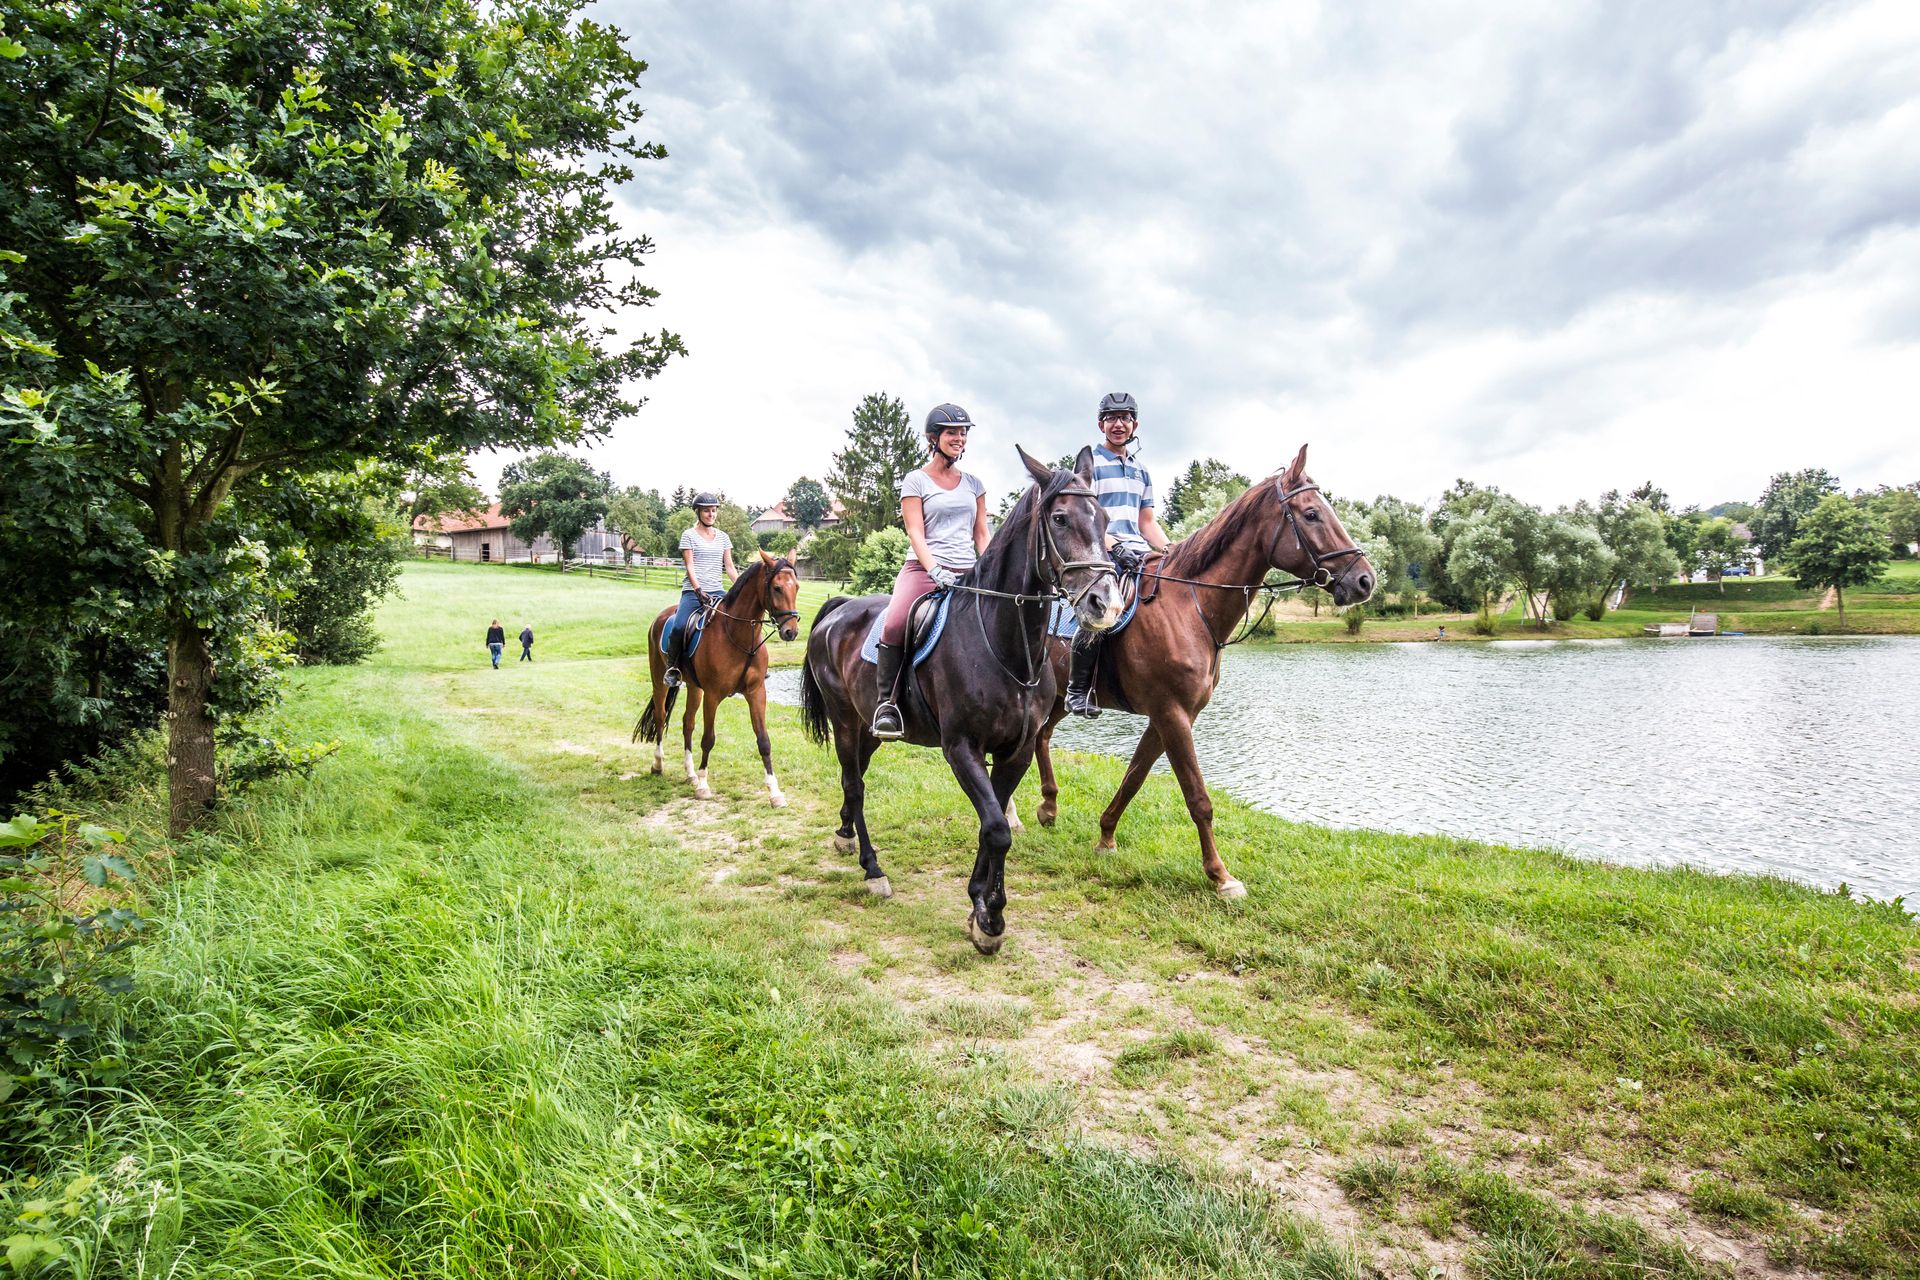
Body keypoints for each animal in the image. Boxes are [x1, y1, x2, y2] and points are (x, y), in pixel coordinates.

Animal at [637, 552, 802, 809]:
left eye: (796, 587)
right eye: (776, 588)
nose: (790, 632)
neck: (738, 636)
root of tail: (661, 616)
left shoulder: (756, 692)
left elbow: (764, 741)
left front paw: (775, 793)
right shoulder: (713, 695)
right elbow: (708, 739)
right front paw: (704, 787)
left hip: (694, 688)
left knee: (687, 723)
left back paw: (690, 774)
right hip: (659, 680)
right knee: (661, 717)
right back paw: (658, 764)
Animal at [798, 449, 1121, 951]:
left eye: (1104, 519)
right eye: (1060, 518)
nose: (1105, 605)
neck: (1007, 646)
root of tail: (840, 609)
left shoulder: (1016, 752)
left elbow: (994, 827)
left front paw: (978, 905)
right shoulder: (961, 748)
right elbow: (998, 830)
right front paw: (991, 920)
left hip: (869, 729)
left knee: (855, 780)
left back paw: (844, 834)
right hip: (845, 720)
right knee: (854, 784)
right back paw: (872, 868)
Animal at [1036, 445, 1367, 898]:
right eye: (1313, 514)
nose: (1365, 580)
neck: (1189, 607)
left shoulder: (1172, 716)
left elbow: (1134, 777)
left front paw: (1105, 837)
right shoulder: (1171, 714)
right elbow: (1198, 798)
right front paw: (1221, 876)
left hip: (1058, 699)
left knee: (1041, 737)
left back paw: (1048, 807)